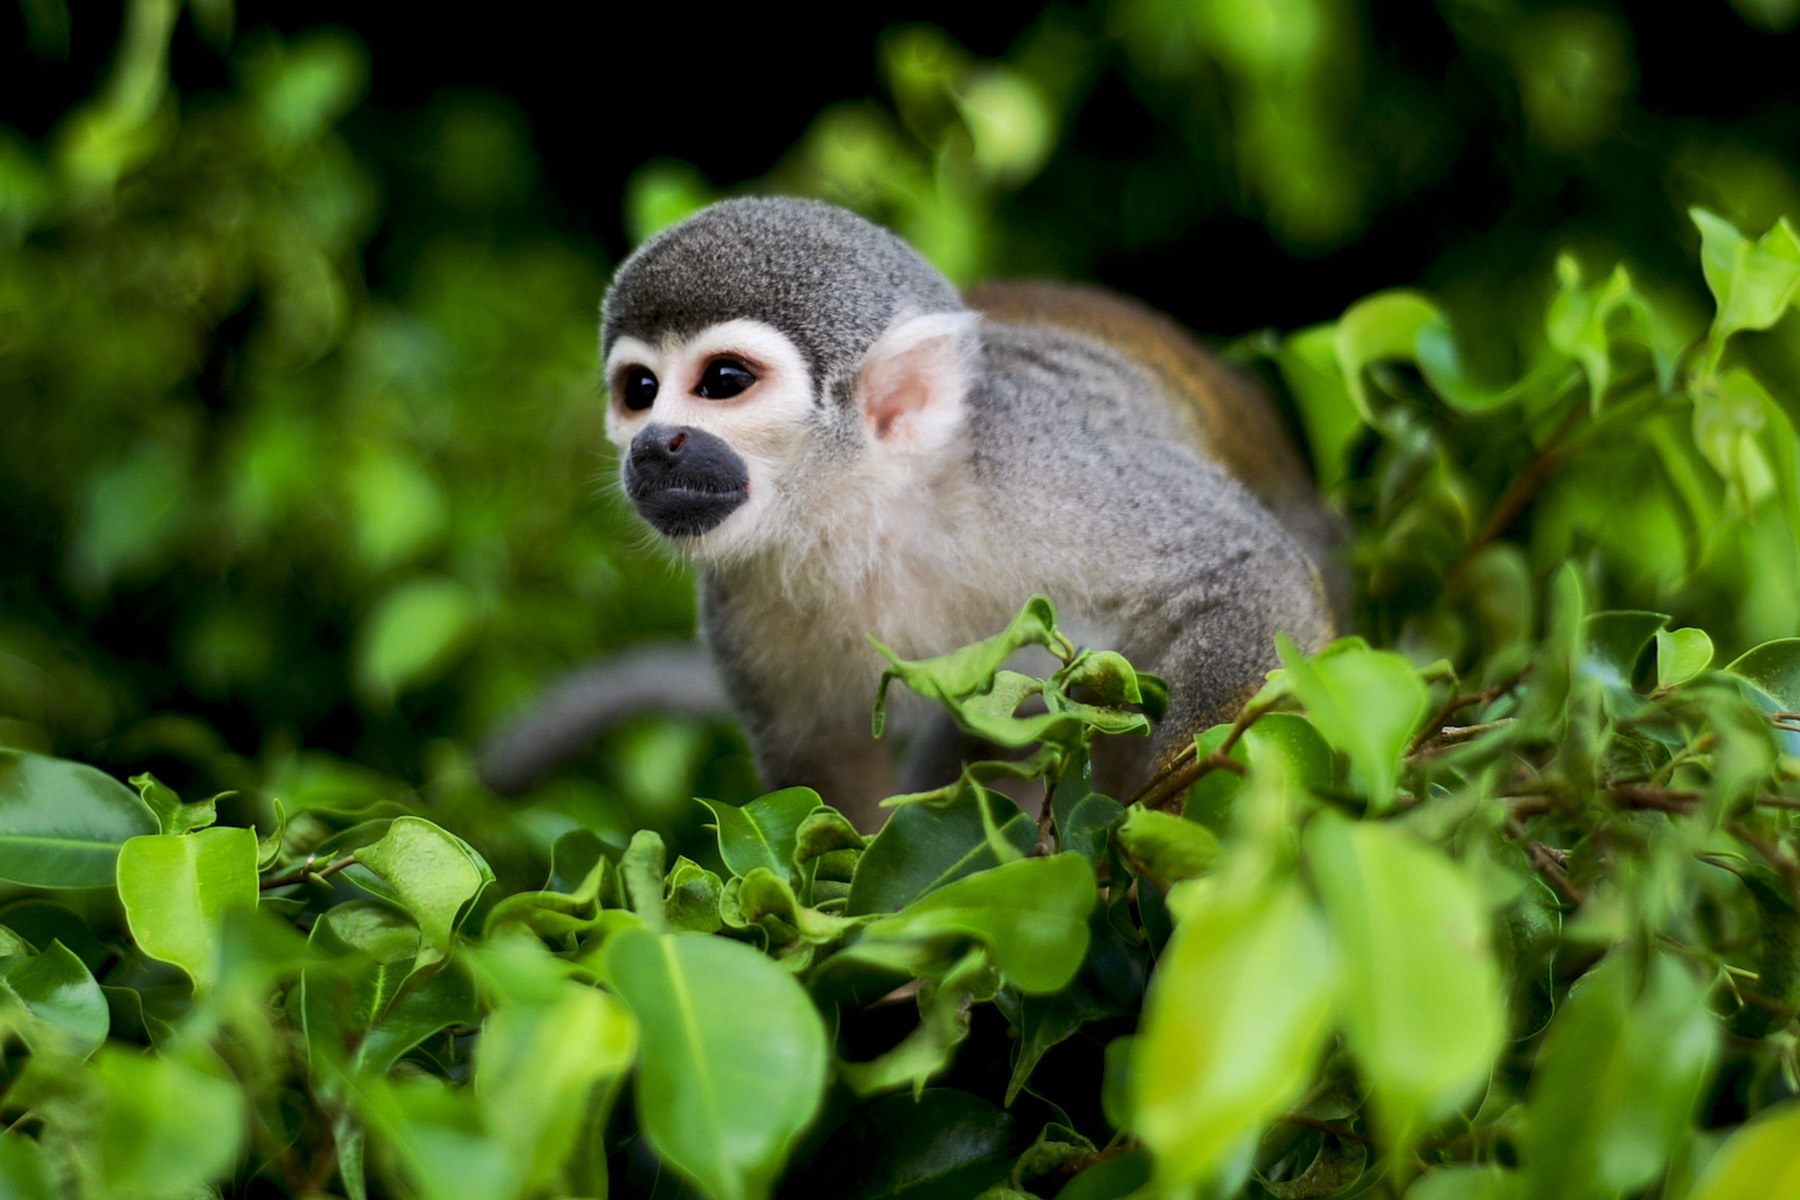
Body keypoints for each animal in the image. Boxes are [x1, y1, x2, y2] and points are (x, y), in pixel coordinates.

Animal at [596, 197, 1340, 831]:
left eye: (724, 382)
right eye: (640, 390)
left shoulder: (1040, 468)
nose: (653, 446)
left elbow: (1246, 569)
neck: (868, 511)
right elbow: (823, 760)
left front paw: (1175, 829)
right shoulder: (740, 599)